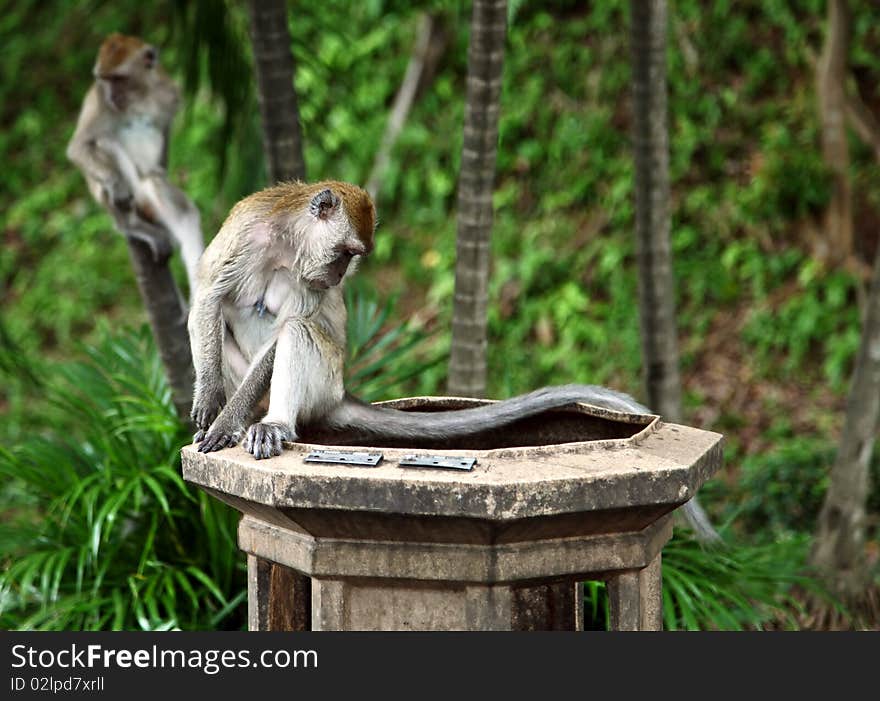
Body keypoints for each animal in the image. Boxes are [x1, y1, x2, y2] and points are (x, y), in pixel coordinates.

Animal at [67, 31, 205, 294]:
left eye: (118, 78)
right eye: (104, 79)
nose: (112, 96)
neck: (139, 97)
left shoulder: (168, 92)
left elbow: (165, 128)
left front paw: (161, 167)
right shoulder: (98, 100)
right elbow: (80, 146)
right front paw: (117, 185)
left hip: (147, 198)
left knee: (173, 204)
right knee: (105, 143)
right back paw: (131, 224)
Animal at [191, 180, 720, 540]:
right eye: (345, 252)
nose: (340, 275)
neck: (289, 242)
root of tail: (340, 394)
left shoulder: (306, 278)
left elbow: (291, 324)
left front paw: (226, 418)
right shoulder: (246, 230)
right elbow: (209, 299)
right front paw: (213, 403)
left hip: (325, 381)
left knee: (298, 331)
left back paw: (272, 423)